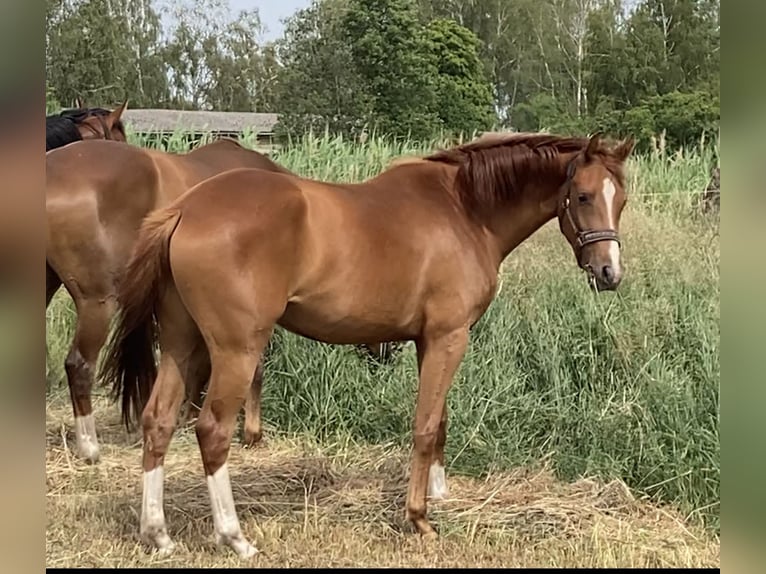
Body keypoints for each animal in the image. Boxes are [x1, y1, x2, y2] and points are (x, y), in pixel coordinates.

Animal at [99, 132, 636, 560]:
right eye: (583, 196)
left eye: (621, 199)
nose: (610, 273)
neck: (464, 210)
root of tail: (185, 208)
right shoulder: (449, 337)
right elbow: (424, 426)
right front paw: (419, 518)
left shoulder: (430, 340)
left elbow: (439, 419)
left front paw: (439, 493)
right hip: (234, 351)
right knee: (212, 432)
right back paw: (235, 538)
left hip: (181, 344)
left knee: (158, 421)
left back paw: (157, 533)